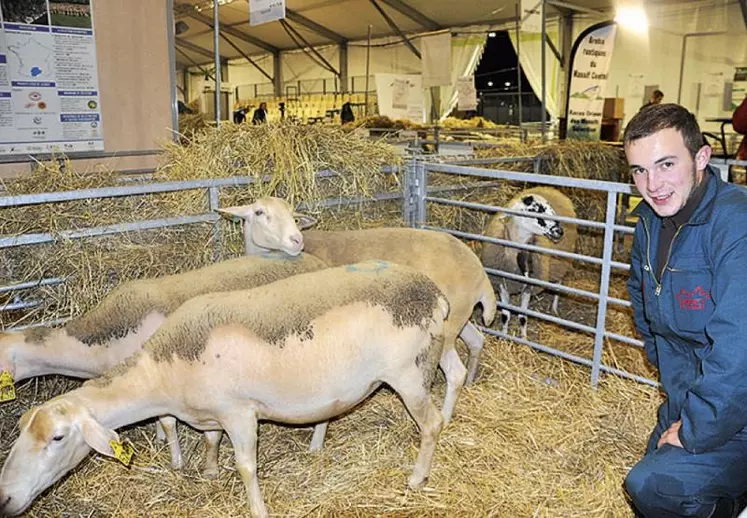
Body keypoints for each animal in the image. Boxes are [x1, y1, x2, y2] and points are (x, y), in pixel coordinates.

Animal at [0, 264, 450, 518]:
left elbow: (246, 466)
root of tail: (434, 291)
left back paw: (417, 478)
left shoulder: (239, 413)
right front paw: (209, 470)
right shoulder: (211, 412)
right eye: (20, 432)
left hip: (410, 374)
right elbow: (210, 441)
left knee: (431, 424)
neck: (162, 370)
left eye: (58, 438)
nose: (4, 499)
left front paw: (257, 509)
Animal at [480, 187, 580, 342]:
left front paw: (523, 339)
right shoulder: (502, 284)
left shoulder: (528, 286)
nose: (559, 231)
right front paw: (503, 336)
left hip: (561, 261)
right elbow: (505, 315)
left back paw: (554, 308)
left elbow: (522, 317)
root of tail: (551, 189)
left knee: (558, 284)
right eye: (535, 209)